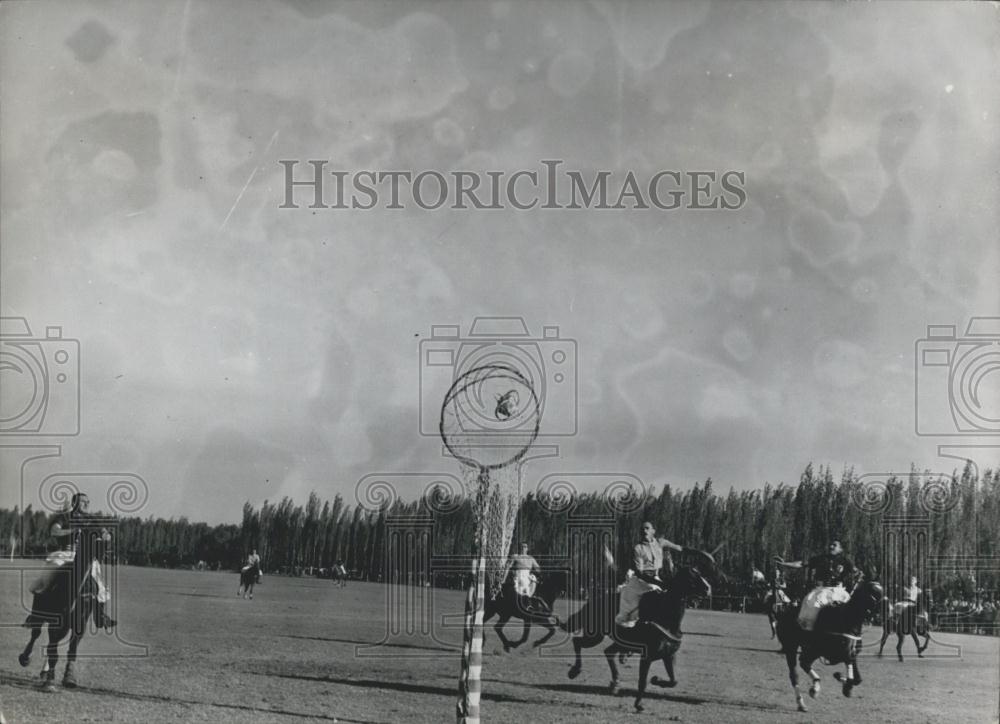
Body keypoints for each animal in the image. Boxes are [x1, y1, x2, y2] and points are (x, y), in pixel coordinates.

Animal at [568, 556, 716, 712]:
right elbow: (642, 681)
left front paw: (656, 680)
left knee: (608, 651)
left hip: (621, 641)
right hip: (595, 636)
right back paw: (575, 670)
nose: (708, 589)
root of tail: (592, 602)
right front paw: (638, 704)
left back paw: (615, 682)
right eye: (690, 576)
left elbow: (673, 680)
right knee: (578, 642)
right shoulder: (647, 656)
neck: (667, 619)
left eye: (699, 572)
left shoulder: (669, 655)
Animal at [772, 576, 884, 712]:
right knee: (795, 674)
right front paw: (845, 684)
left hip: (812, 650)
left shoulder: (850, 653)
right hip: (791, 647)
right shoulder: (834, 654)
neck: (846, 620)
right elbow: (851, 675)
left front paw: (842, 680)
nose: (880, 617)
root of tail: (783, 612)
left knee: (804, 662)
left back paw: (815, 688)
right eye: (874, 597)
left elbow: (857, 679)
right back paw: (801, 702)